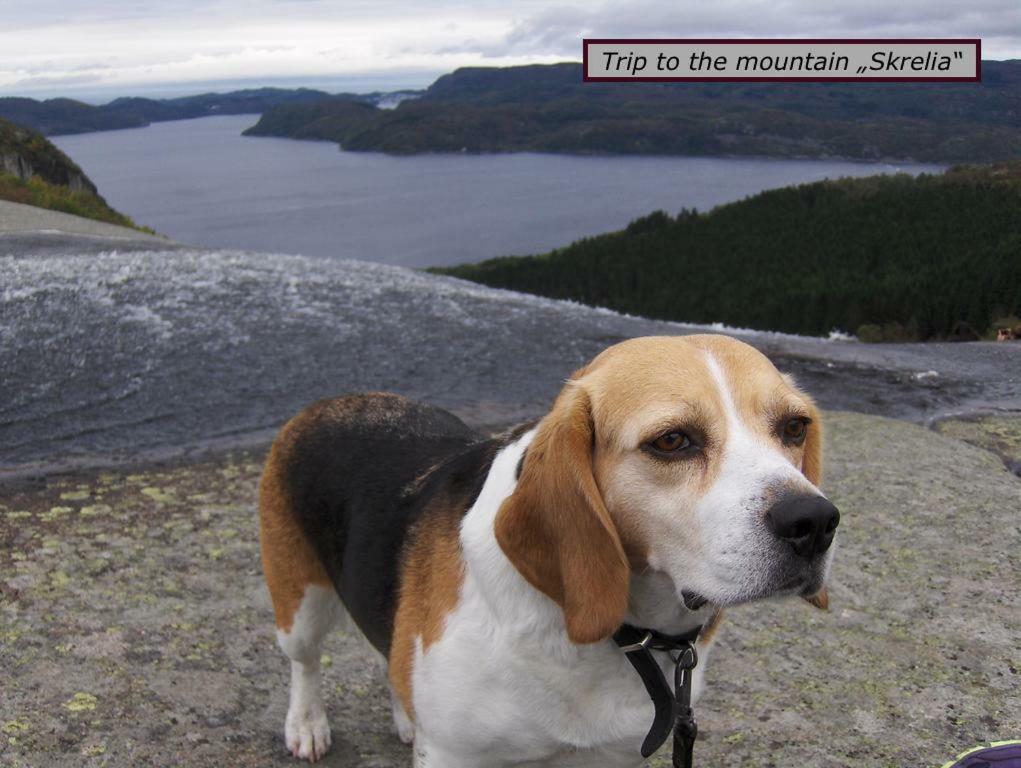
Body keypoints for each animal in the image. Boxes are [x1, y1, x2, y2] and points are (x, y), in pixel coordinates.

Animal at [261, 334, 837, 768]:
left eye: (794, 427)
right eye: (672, 441)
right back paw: (307, 724)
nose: (814, 522)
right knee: (304, 662)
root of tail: (329, 402)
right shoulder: (452, 754)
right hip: (300, 601)